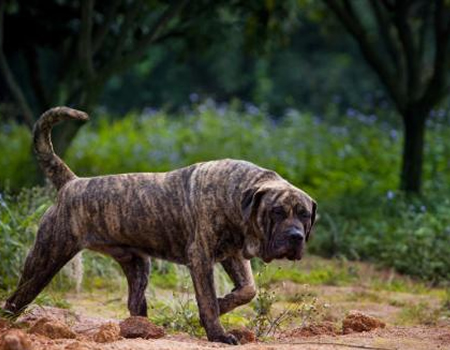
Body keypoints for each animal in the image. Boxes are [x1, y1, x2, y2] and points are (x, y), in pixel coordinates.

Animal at [3, 106, 316, 344]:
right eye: (277, 211)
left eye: (304, 215)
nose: (295, 236)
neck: (237, 196)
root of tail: (72, 183)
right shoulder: (201, 257)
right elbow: (208, 301)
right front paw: (218, 333)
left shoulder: (234, 255)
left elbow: (247, 290)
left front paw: (225, 301)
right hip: (45, 259)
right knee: (17, 297)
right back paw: (9, 325)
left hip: (139, 266)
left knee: (135, 303)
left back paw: (140, 330)